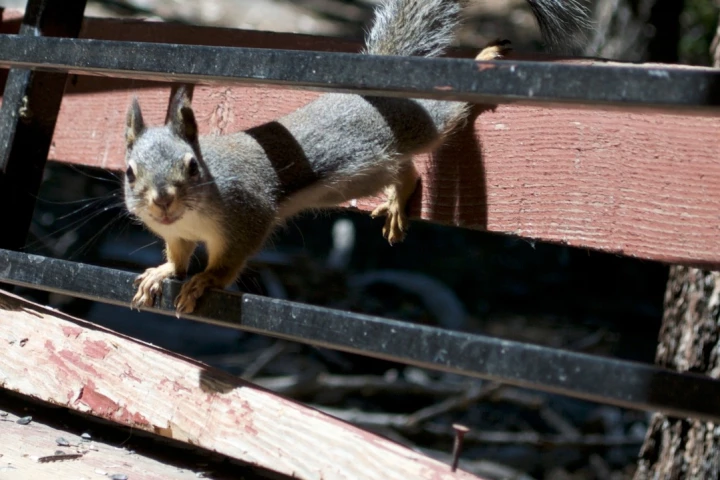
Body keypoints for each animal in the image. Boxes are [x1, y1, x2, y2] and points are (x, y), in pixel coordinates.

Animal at [124, 0, 590, 314]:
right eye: (129, 172)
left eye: (191, 166)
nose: (162, 200)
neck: (191, 215)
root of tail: (375, 92)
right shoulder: (177, 234)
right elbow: (177, 255)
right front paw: (163, 272)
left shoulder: (247, 214)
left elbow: (229, 262)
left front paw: (203, 281)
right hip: (368, 172)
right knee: (406, 170)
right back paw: (397, 198)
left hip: (417, 125)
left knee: (444, 116)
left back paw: (482, 62)